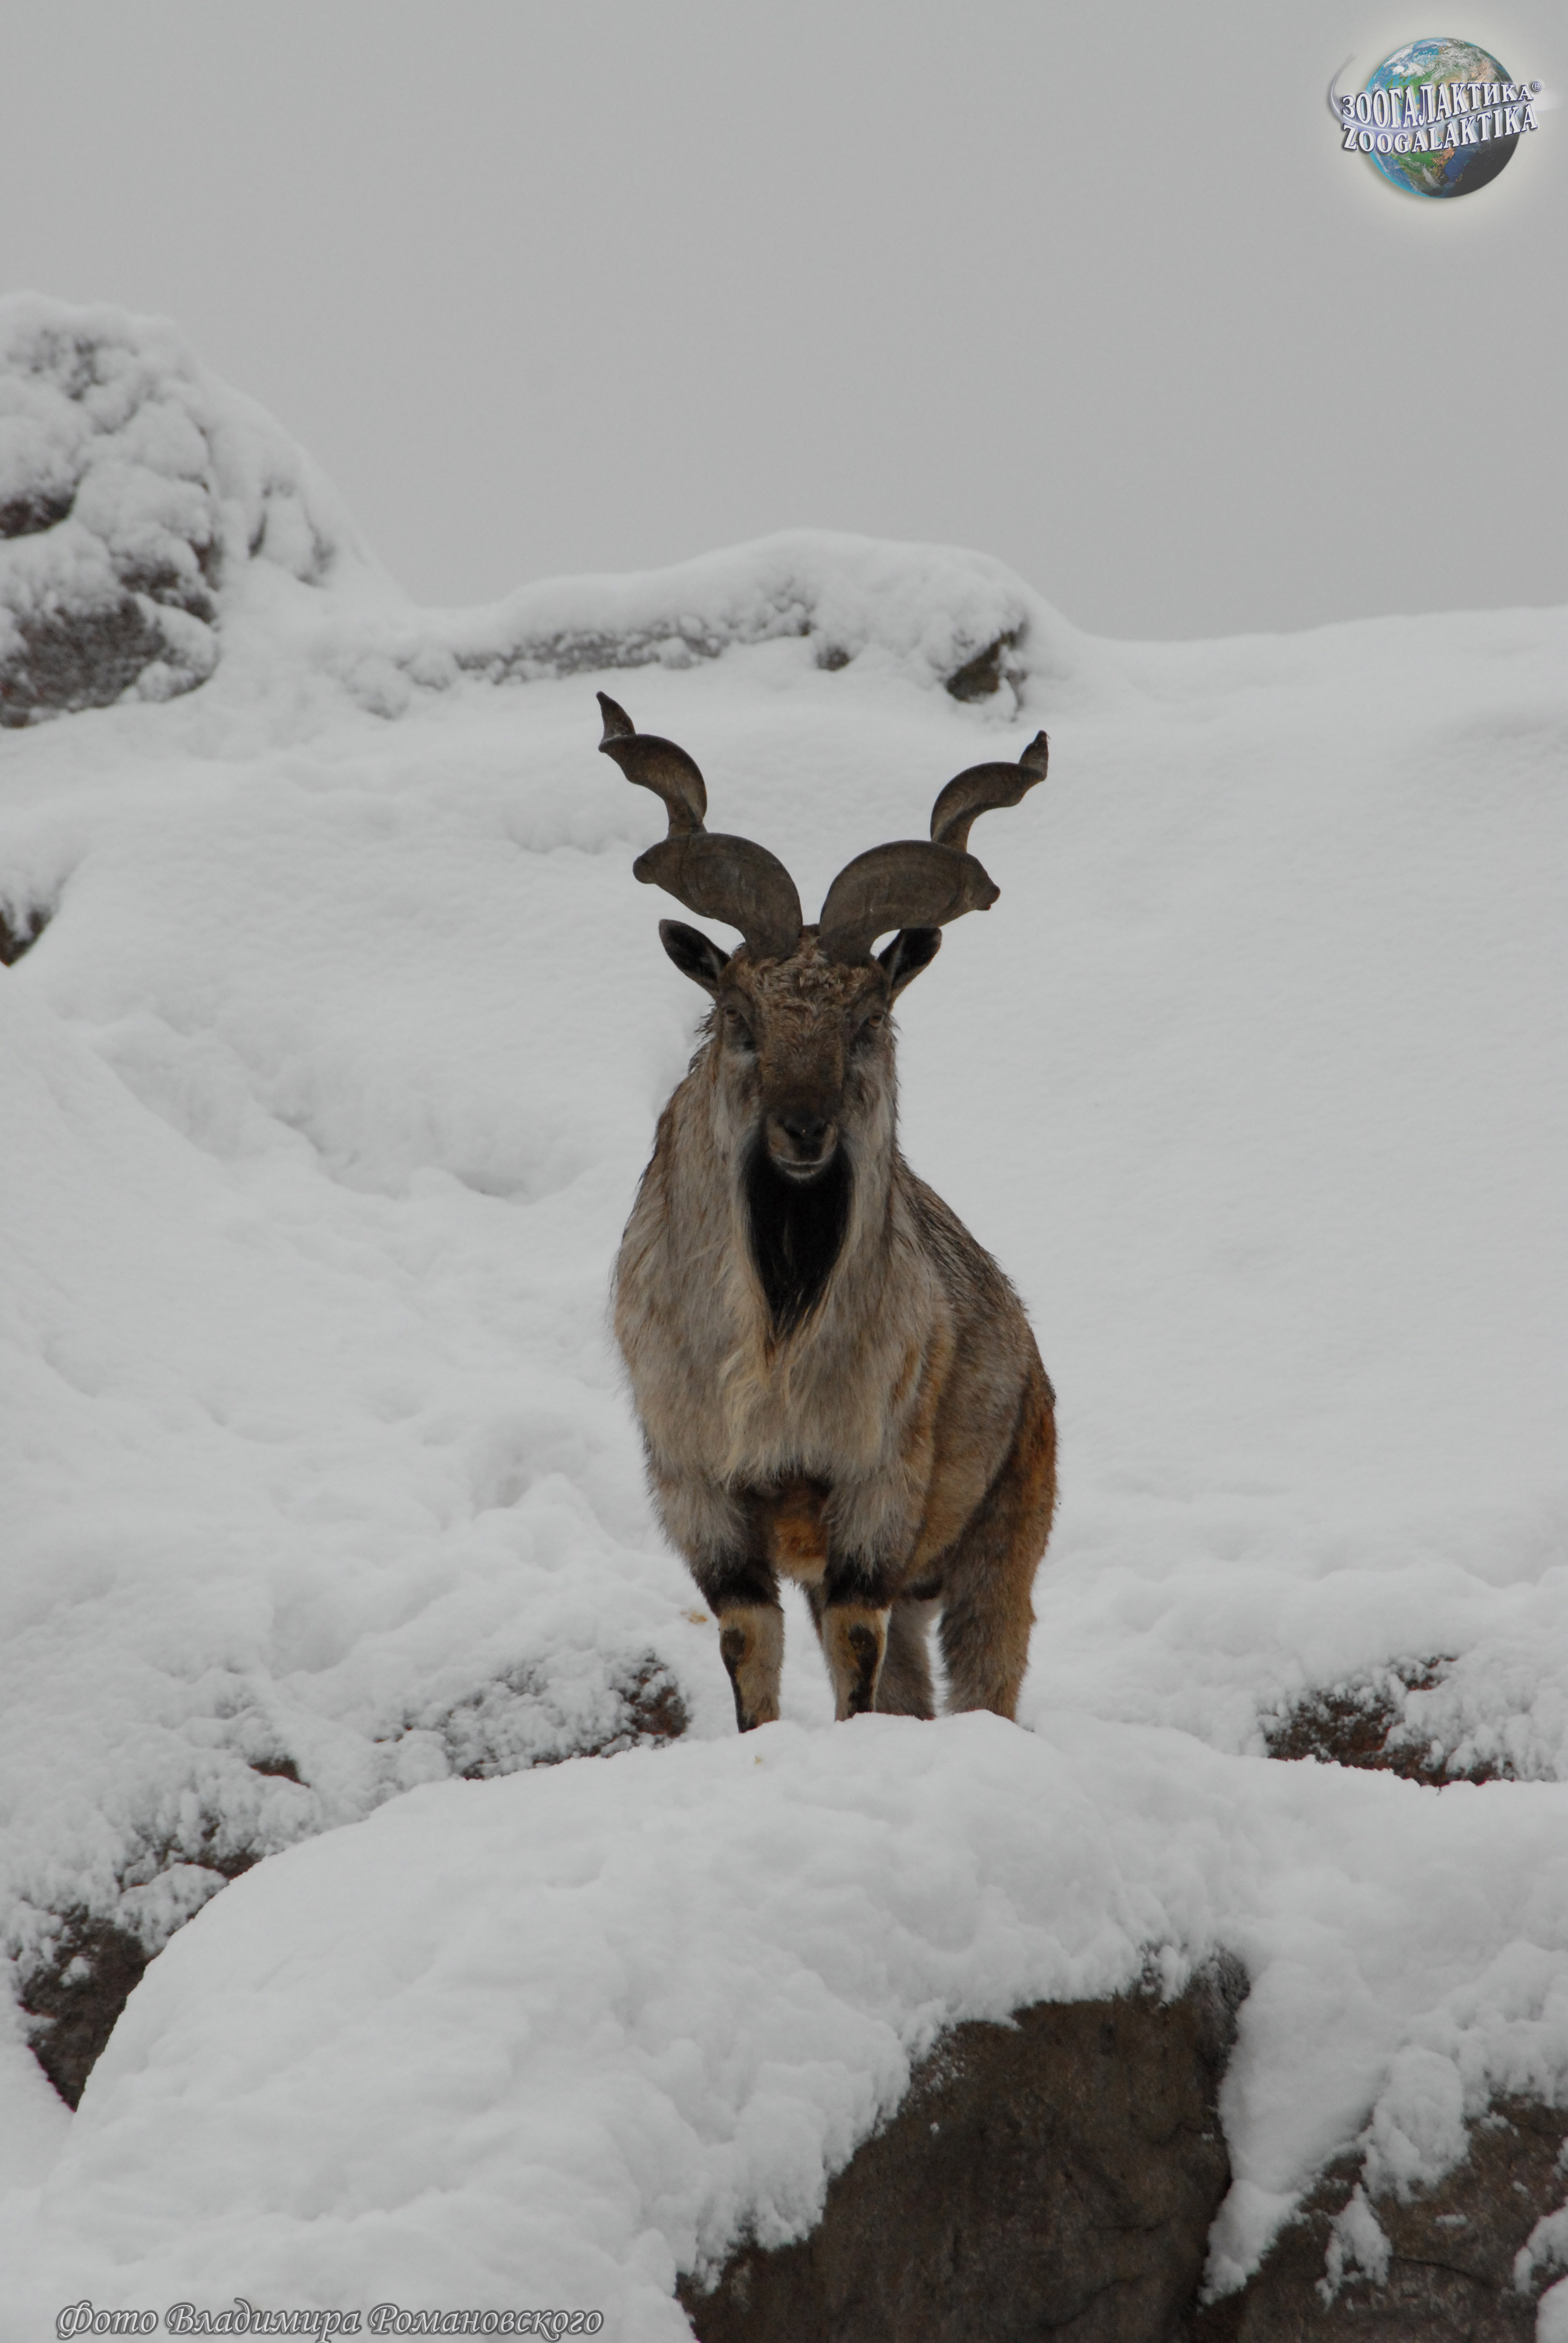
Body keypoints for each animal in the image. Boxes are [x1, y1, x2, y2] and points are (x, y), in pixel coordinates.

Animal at [601, 691, 1056, 1732]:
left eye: (868, 1020)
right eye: (740, 1017)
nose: (803, 1132)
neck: (775, 1339)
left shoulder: (874, 1491)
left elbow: (857, 1652)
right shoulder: (703, 1492)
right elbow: (748, 1647)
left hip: (1003, 1539)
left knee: (984, 1676)